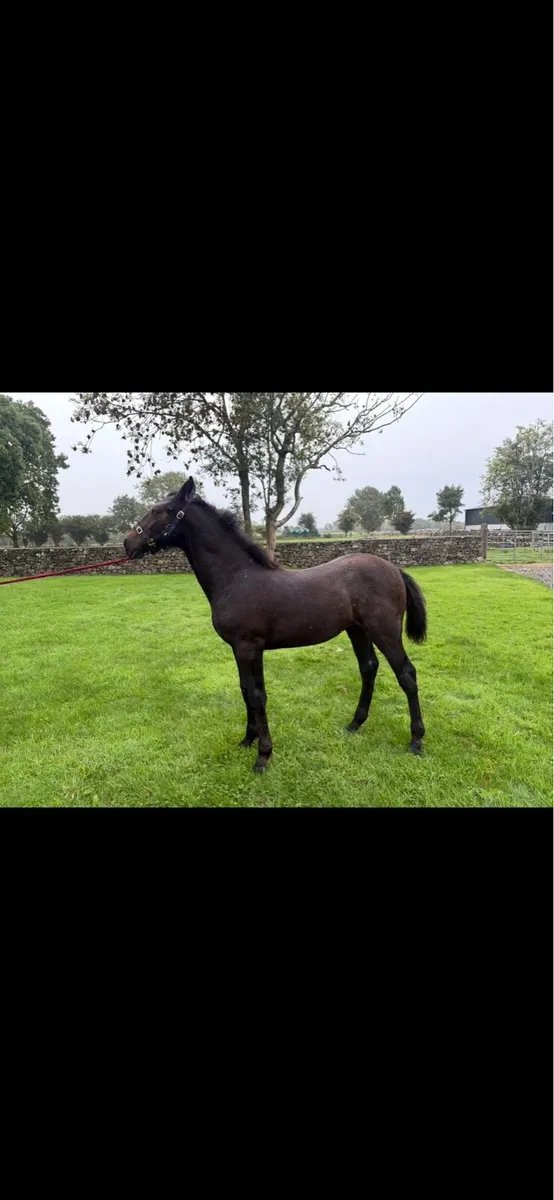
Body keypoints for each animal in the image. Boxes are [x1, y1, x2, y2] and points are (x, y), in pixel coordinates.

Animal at [124, 478, 427, 774]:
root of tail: (394, 569)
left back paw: (416, 740)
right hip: (357, 630)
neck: (236, 578)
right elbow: (245, 690)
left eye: (157, 511)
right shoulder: (238, 649)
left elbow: (258, 695)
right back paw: (355, 724)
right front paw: (247, 740)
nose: (128, 543)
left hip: (384, 630)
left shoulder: (250, 646)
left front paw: (263, 756)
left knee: (406, 674)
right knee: (368, 668)